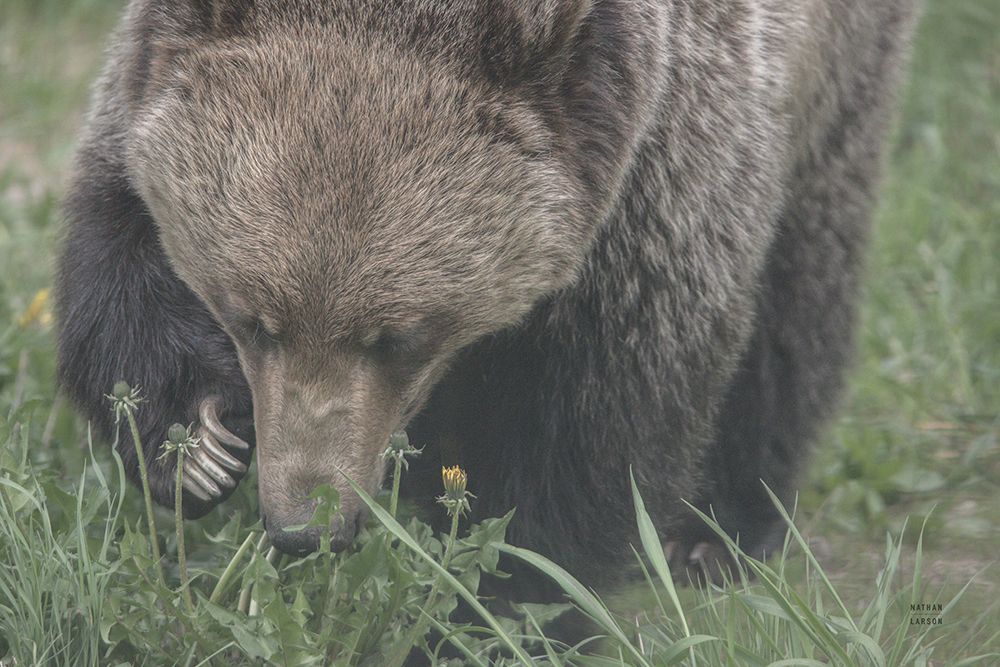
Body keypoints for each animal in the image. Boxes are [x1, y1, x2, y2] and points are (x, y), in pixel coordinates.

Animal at [55, 0, 917, 588]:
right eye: (249, 315)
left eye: (400, 335)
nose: (308, 524)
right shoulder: (148, 91)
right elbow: (118, 249)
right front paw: (195, 444)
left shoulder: (665, 162)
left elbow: (594, 422)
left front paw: (513, 593)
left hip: (836, 85)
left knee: (794, 308)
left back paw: (718, 531)